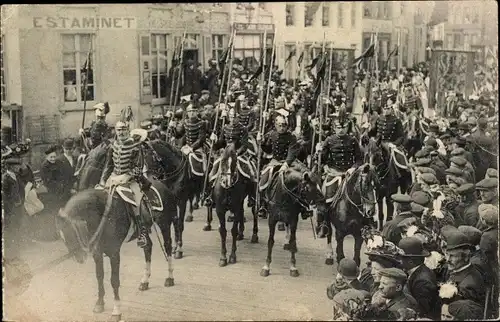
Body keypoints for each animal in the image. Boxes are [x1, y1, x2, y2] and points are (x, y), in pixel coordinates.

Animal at [55, 179, 178, 320]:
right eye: (62, 237)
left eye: (72, 233)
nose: (79, 258)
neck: (102, 213)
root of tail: (163, 185)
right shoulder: (97, 253)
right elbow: (99, 276)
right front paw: (99, 303)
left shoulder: (114, 253)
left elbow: (114, 281)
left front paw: (116, 311)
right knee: (148, 247)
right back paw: (145, 281)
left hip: (165, 224)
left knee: (168, 247)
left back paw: (170, 278)